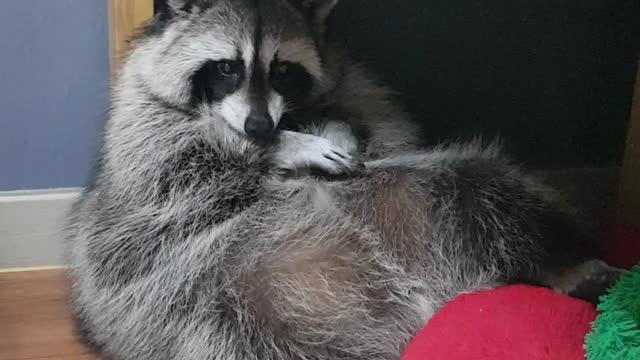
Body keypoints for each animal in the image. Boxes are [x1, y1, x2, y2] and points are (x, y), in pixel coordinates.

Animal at [65, 0, 616, 360]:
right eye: (226, 68)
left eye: (283, 70)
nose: (260, 129)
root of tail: (427, 301)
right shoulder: (142, 132)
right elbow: (184, 166)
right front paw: (288, 146)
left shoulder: (359, 90)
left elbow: (383, 128)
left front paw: (324, 132)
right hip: (212, 300)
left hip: (423, 197)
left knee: (480, 186)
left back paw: (566, 264)